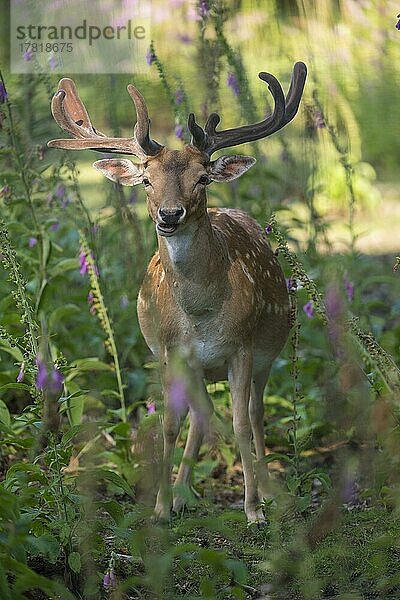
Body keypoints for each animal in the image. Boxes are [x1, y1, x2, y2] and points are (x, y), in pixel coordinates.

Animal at [48, 59, 308, 520]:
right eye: (146, 181)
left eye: (203, 178)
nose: (170, 215)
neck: (200, 313)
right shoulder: (170, 350)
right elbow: (170, 423)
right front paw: (160, 507)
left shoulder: (242, 347)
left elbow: (241, 423)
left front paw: (253, 510)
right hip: (194, 366)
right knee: (201, 414)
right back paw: (185, 492)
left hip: (268, 352)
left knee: (256, 413)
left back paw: (270, 492)